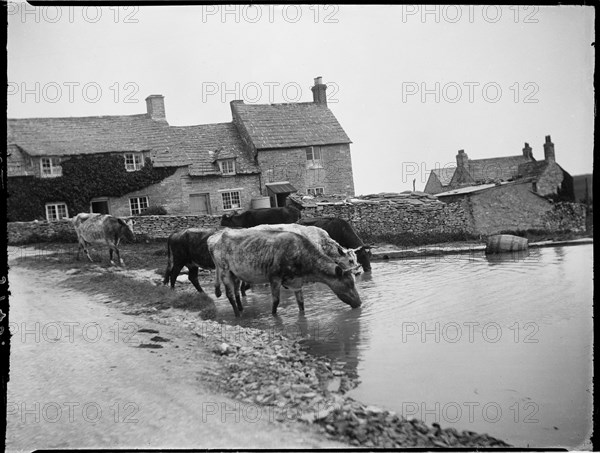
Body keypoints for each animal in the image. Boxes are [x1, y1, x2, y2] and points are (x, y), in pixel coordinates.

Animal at [209, 228, 364, 316]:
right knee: (230, 294)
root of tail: (216, 237)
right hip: (224, 269)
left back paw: (241, 309)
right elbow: (276, 301)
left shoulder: (296, 282)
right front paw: (274, 316)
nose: (359, 302)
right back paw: (237, 314)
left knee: (236, 292)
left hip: (235, 274)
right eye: (348, 284)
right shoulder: (274, 277)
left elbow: (301, 303)